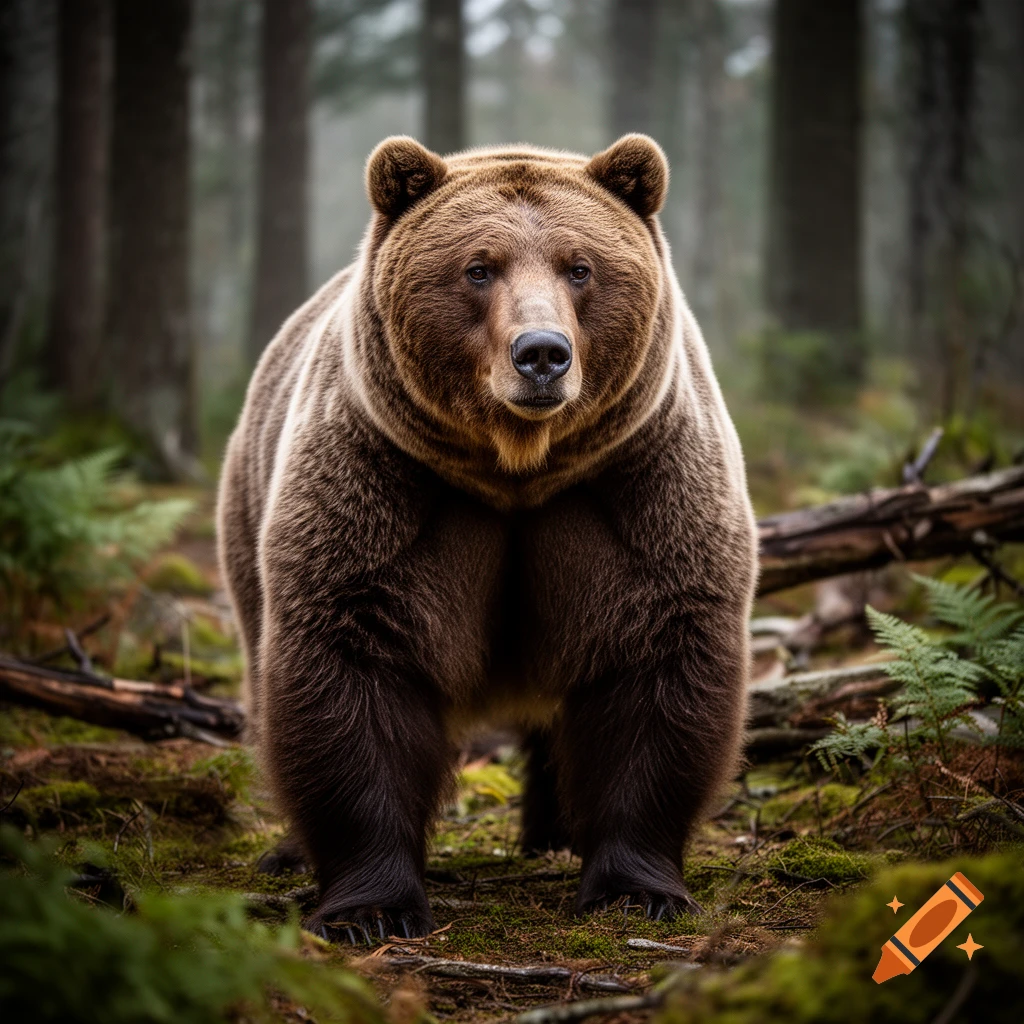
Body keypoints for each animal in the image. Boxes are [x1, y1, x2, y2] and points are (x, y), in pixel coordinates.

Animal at [216, 133, 758, 941]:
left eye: (579, 266)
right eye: (478, 268)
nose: (542, 354)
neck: (517, 469)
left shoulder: (639, 488)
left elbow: (658, 665)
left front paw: (637, 888)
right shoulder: (384, 487)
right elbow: (351, 669)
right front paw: (369, 907)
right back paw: (288, 849)